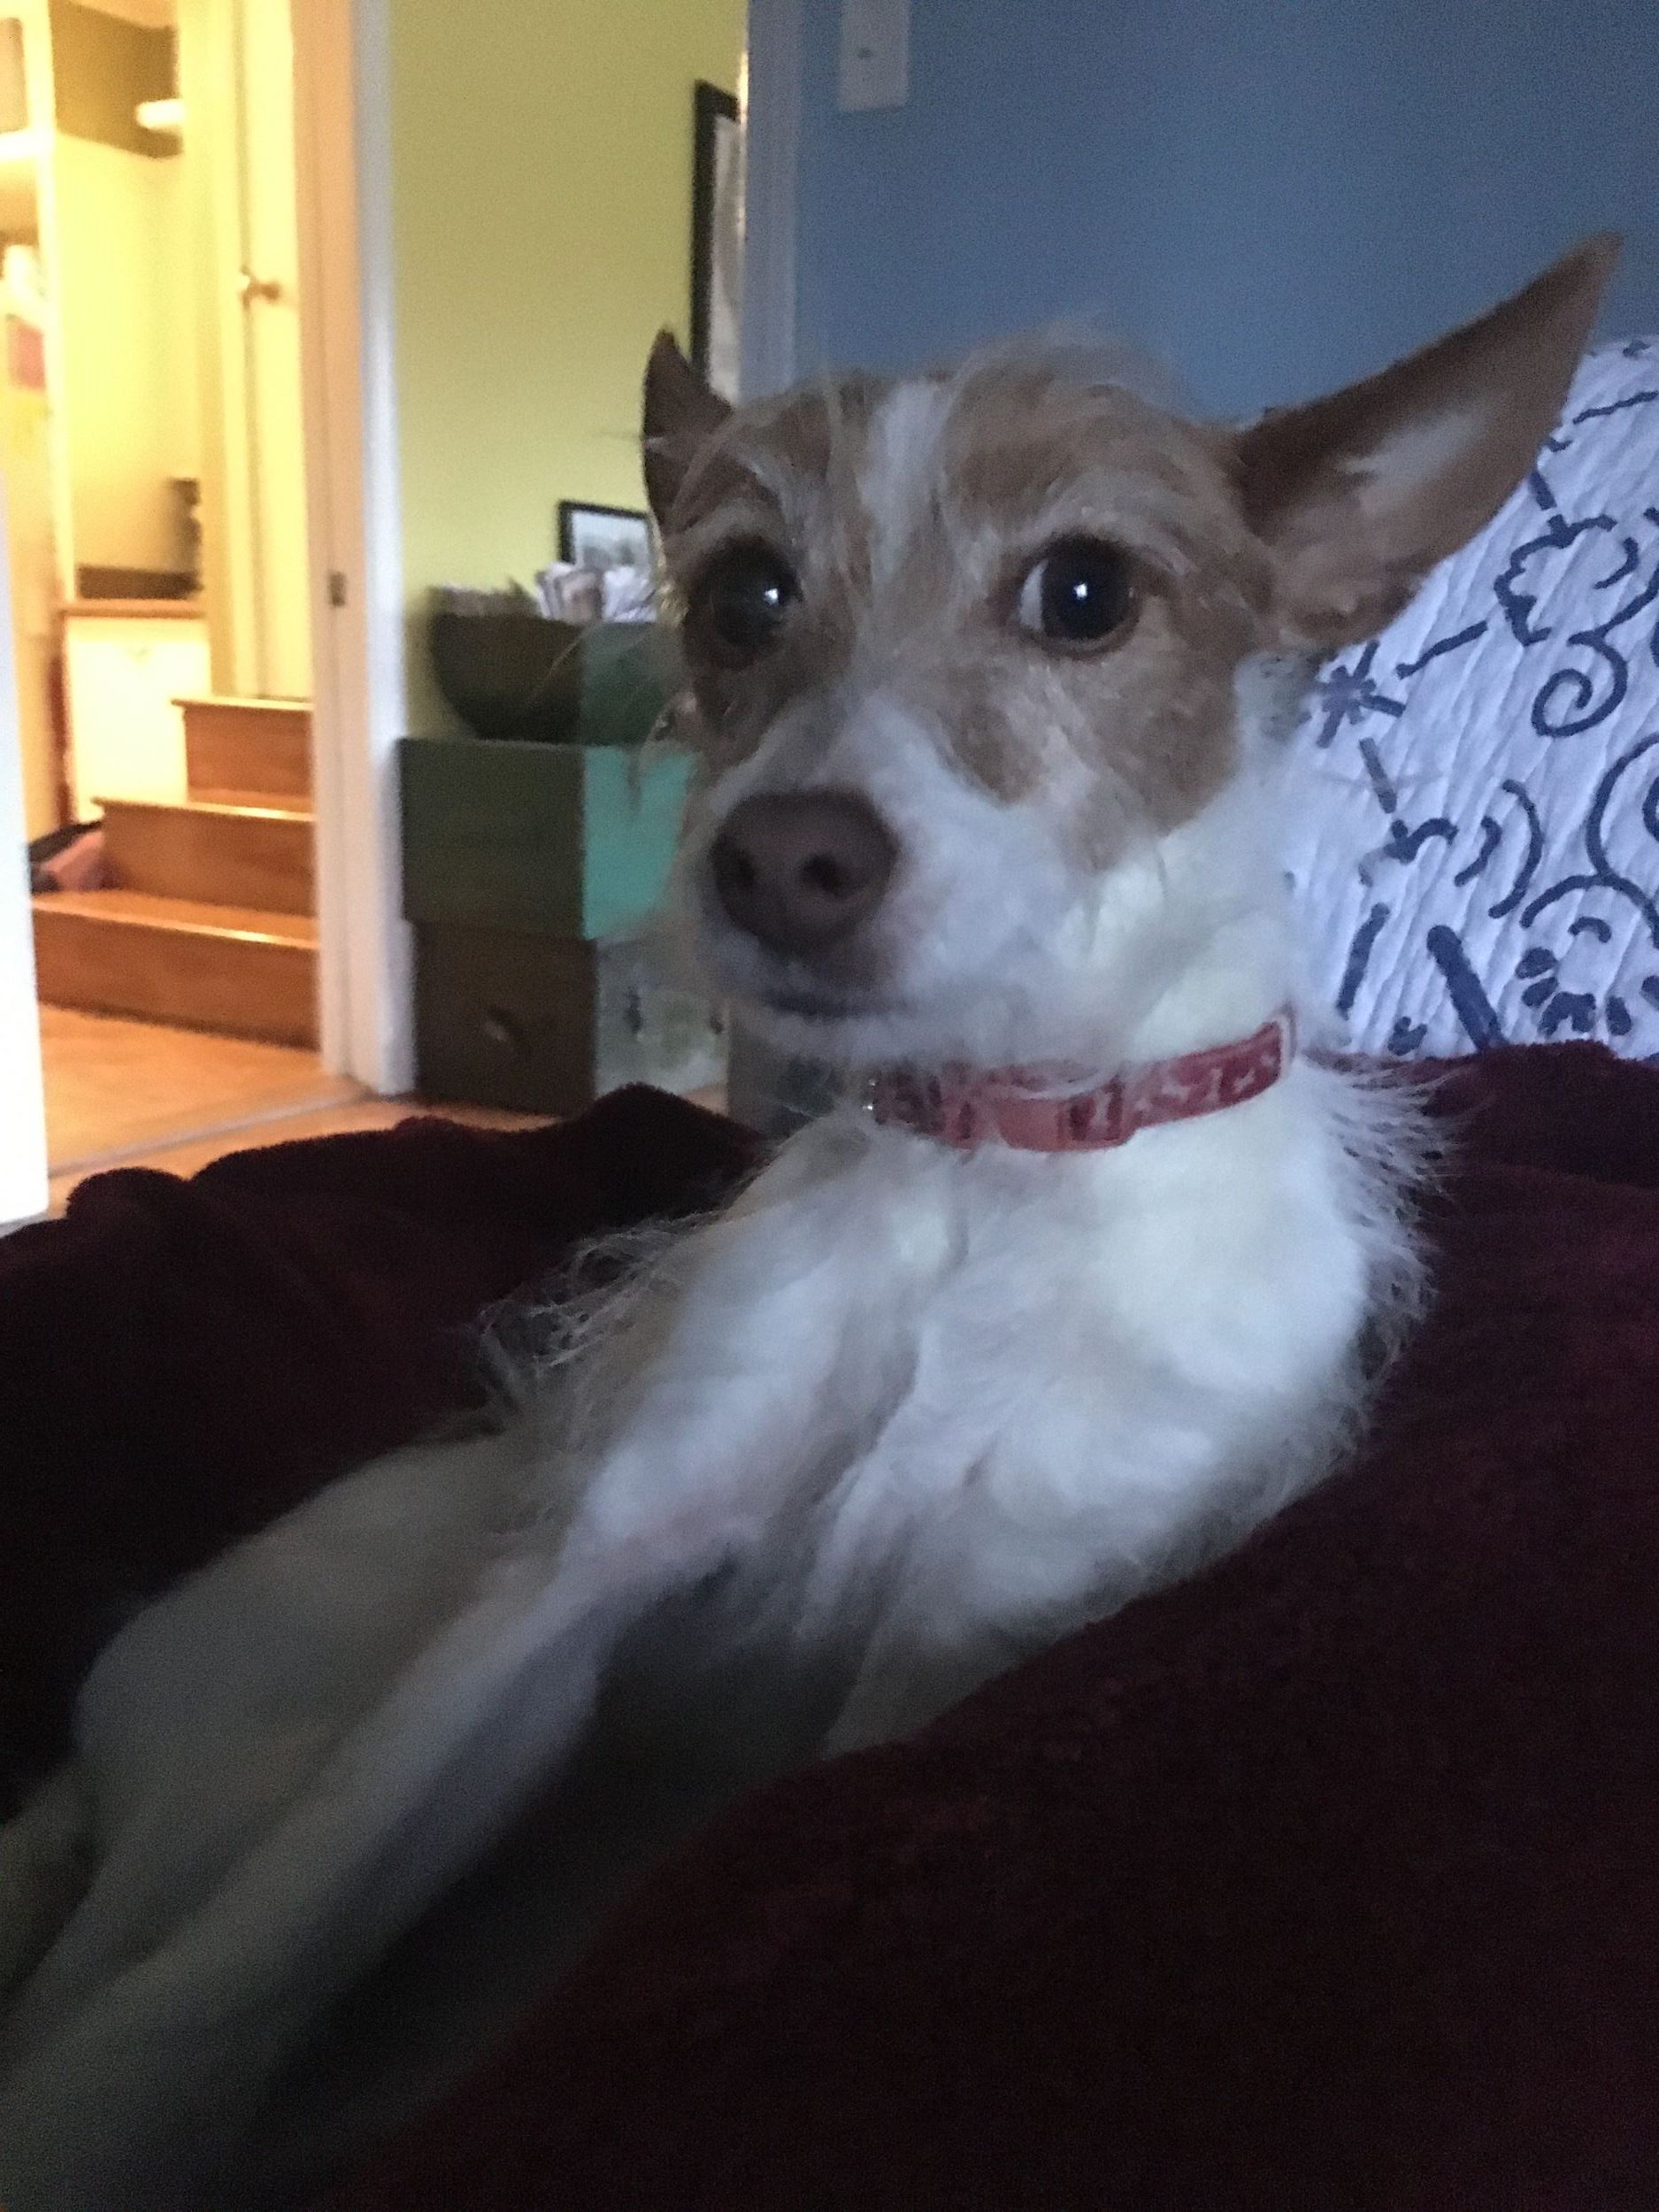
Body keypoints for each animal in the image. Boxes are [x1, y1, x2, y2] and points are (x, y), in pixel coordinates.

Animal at [0, 233, 1615, 2211]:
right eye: (743, 595)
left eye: (1087, 590)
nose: (778, 861)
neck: (994, 1162)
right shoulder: (558, 1602)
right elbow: (233, 1969)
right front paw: (83, 2124)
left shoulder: (961, 1644)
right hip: (246, 1744)